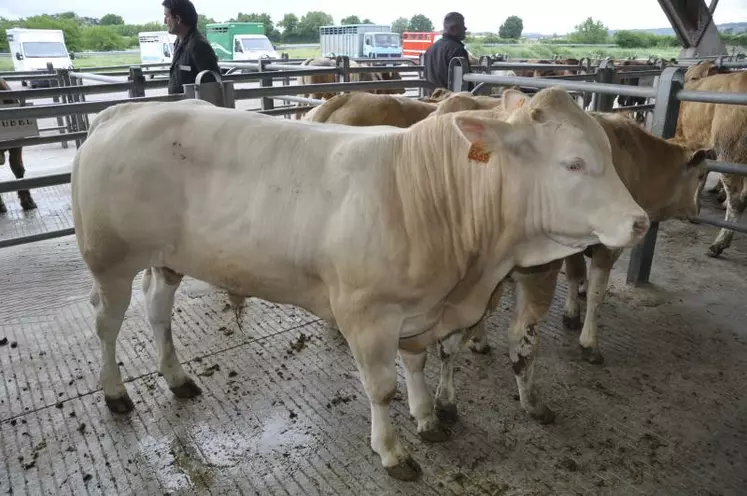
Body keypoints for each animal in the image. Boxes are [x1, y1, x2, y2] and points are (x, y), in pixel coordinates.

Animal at [73, 88, 652, 480]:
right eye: (573, 164)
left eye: (607, 154)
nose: (640, 221)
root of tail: (120, 112)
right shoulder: (367, 314)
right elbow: (381, 387)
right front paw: (393, 451)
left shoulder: (420, 311)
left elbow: (416, 365)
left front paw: (427, 418)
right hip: (110, 258)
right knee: (106, 322)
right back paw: (116, 393)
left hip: (165, 260)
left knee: (156, 308)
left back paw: (177, 378)